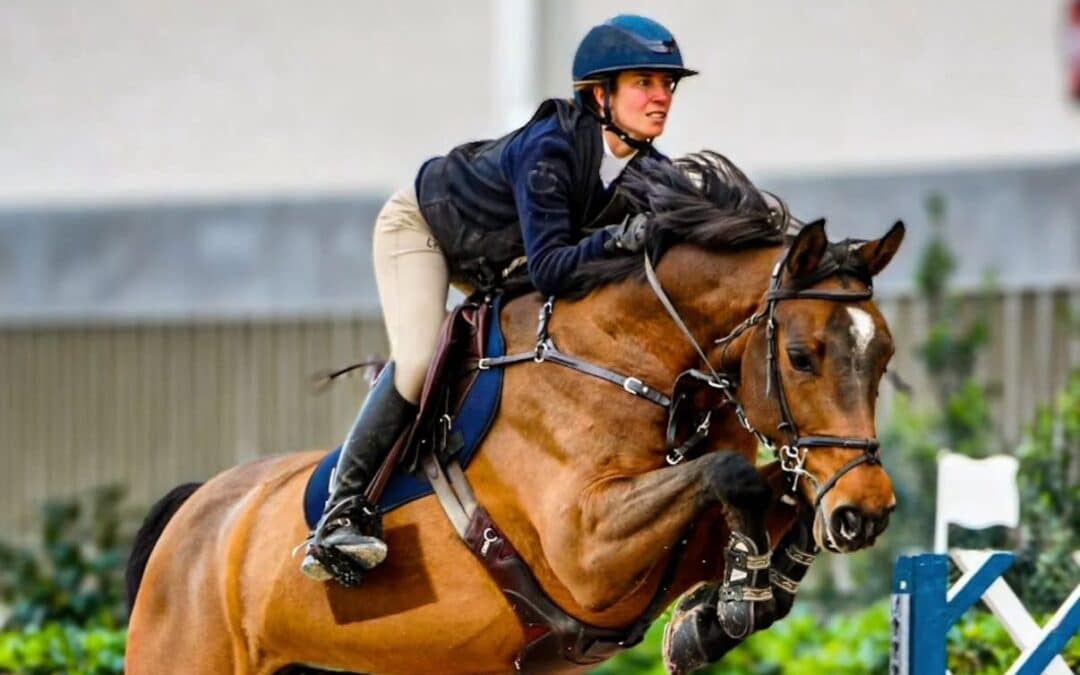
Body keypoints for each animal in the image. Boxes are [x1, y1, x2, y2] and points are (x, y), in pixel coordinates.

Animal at [124, 152, 903, 674]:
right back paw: (340, 536)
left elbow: (771, 497)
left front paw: (720, 612)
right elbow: (731, 479)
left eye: (884, 355)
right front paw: (733, 602)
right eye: (801, 357)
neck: (640, 360)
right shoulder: (587, 551)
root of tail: (196, 511)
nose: (866, 512)